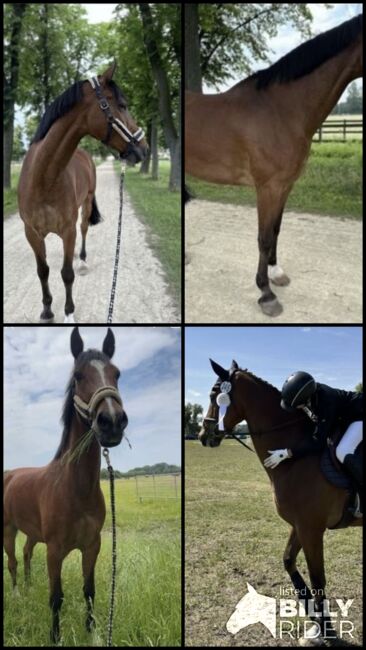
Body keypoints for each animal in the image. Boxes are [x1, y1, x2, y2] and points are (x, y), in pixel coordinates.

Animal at [3, 326, 127, 640]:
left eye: (117, 374)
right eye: (78, 376)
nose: (112, 421)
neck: (75, 489)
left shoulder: (92, 546)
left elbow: (89, 591)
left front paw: (92, 632)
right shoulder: (55, 551)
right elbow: (56, 597)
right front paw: (55, 636)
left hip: (33, 534)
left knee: (26, 554)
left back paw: (29, 587)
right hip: (8, 530)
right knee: (12, 561)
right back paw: (17, 594)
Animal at [17, 63, 147, 322]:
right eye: (123, 105)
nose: (144, 149)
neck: (43, 179)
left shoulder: (68, 231)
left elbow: (67, 273)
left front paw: (69, 313)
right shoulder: (32, 233)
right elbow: (43, 271)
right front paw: (47, 310)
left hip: (86, 203)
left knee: (84, 228)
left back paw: (83, 260)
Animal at [186, 16, 364, 316]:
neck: (281, 110)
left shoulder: (285, 185)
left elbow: (276, 230)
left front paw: (276, 273)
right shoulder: (268, 187)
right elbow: (264, 237)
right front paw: (266, 293)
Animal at [200, 360, 364, 644]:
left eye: (213, 395)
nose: (202, 435)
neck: (296, 457)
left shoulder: (311, 529)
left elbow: (318, 579)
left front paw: (328, 631)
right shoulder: (299, 526)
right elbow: (288, 561)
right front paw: (314, 622)